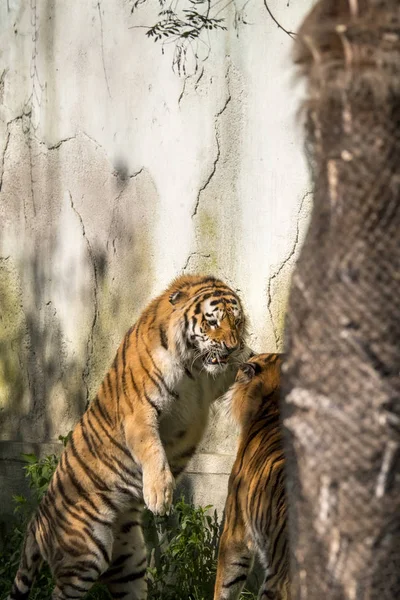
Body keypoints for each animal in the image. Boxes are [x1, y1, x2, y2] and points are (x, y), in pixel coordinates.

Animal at [8, 274, 250, 596]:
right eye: (212, 322)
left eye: (237, 321)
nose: (232, 347)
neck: (194, 366)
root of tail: (37, 520)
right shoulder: (140, 412)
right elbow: (152, 449)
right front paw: (159, 495)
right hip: (84, 554)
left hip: (129, 561)